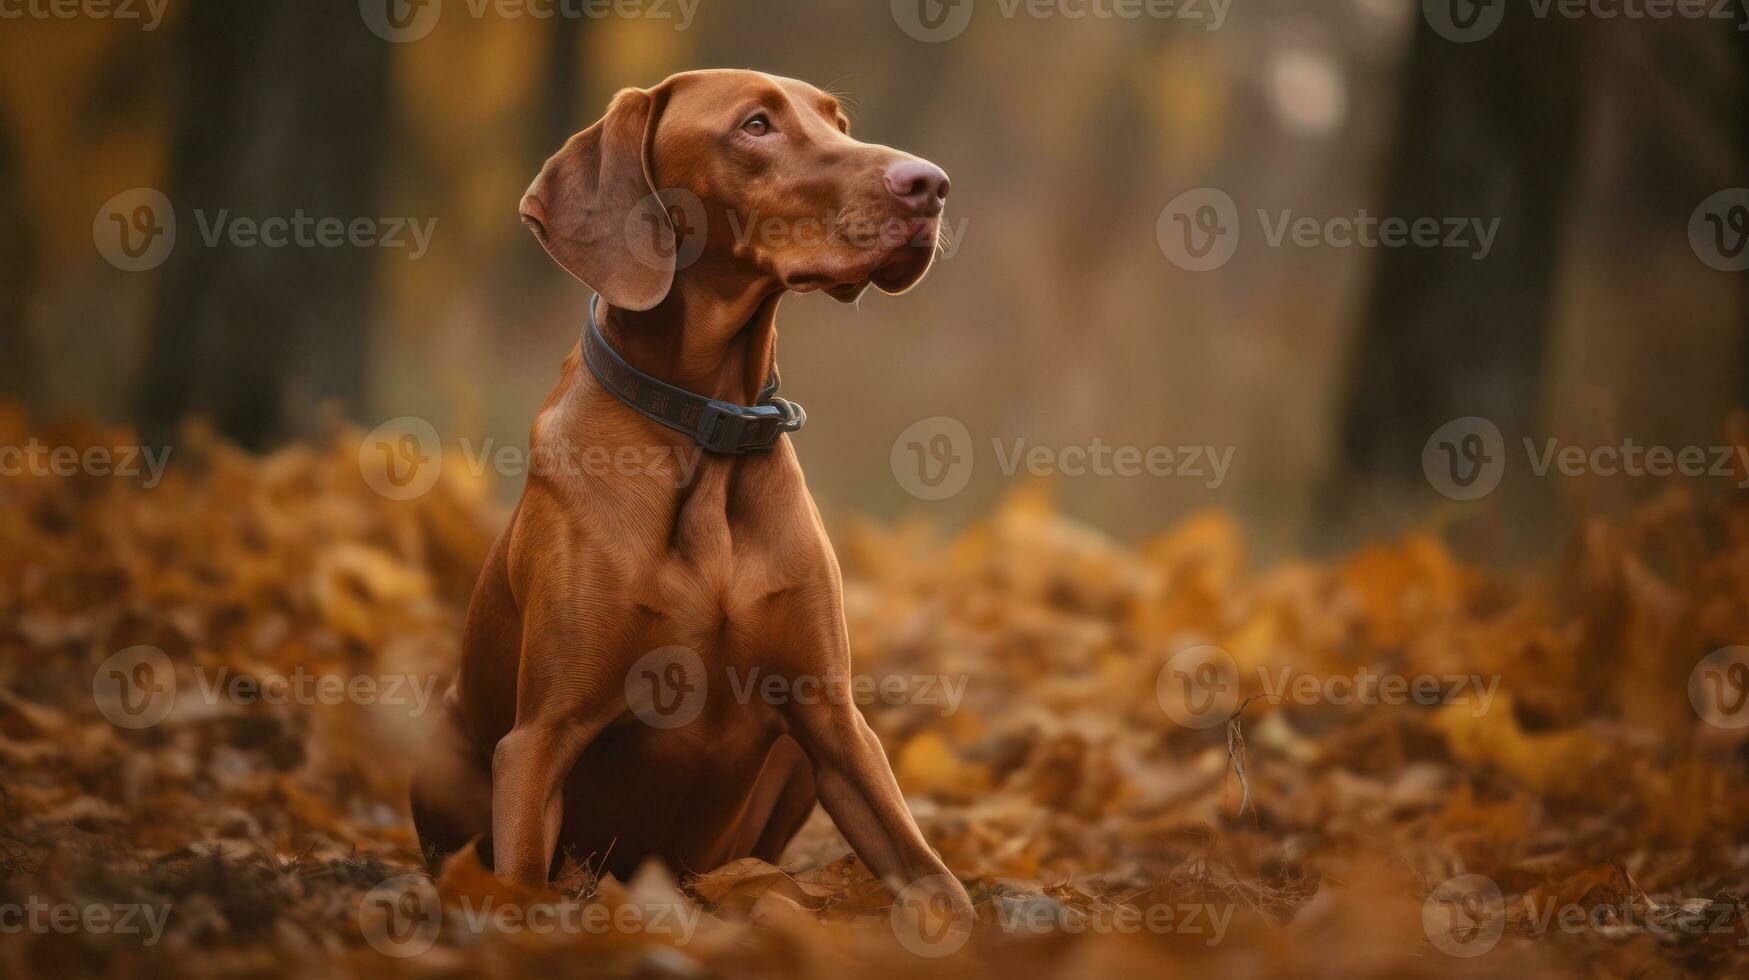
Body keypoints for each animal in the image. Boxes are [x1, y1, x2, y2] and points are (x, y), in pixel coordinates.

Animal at [416, 70, 979, 917]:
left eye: (838, 122)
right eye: (755, 125)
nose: (932, 185)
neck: (711, 428)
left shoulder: (835, 725)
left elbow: (931, 876)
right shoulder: (538, 740)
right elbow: (520, 887)